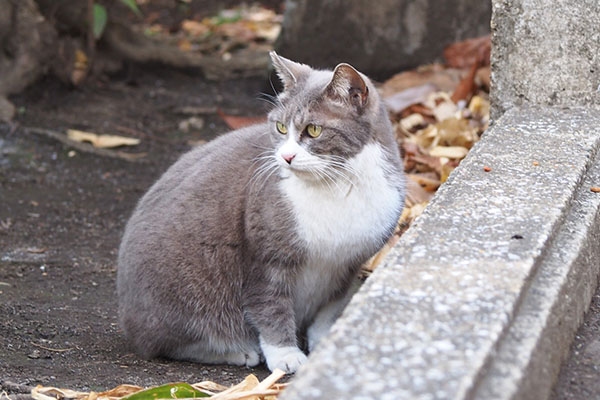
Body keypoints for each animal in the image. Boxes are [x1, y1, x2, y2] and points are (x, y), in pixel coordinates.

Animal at [116, 51, 408, 374]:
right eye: (280, 127)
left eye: (313, 130)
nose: (286, 156)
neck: (338, 185)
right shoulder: (265, 260)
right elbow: (270, 308)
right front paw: (285, 355)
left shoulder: (348, 265)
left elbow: (328, 310)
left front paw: (326, 342)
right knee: (172, 342)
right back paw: (237, 351)